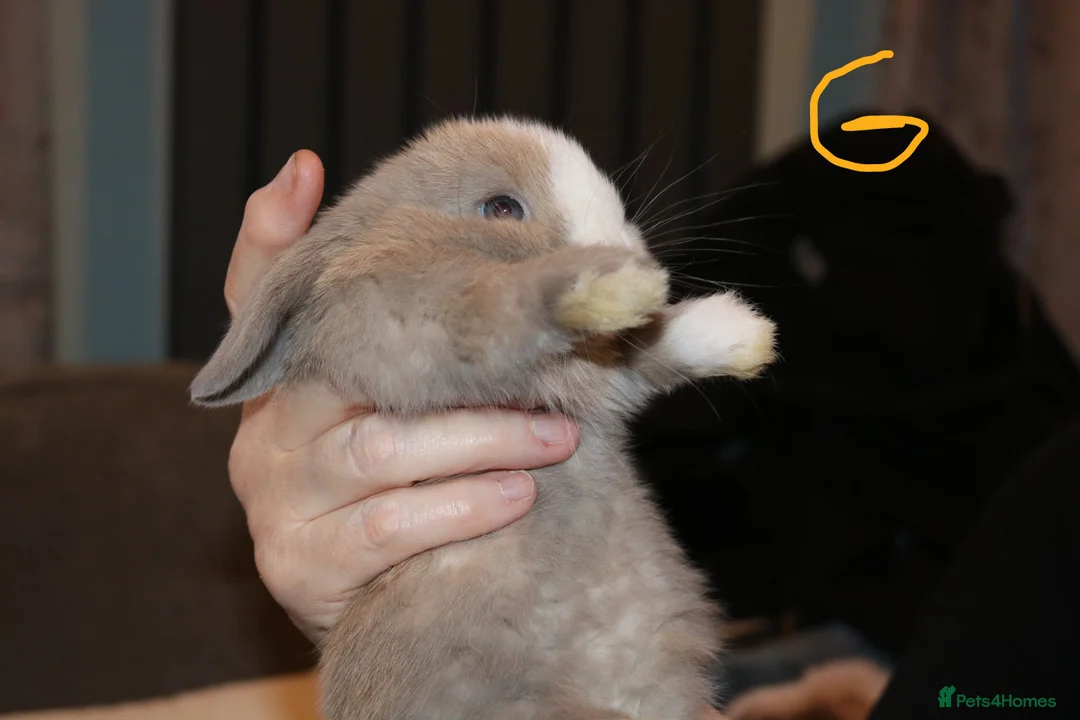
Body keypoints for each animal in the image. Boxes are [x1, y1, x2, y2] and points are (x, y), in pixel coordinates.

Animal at [190, 116, 777, 720]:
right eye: (501, 207)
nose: (629, 252)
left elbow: (649, 352)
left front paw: (741, 332)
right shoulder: (416, 318)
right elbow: (494, 300)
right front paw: (609, 283)